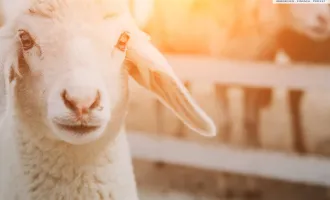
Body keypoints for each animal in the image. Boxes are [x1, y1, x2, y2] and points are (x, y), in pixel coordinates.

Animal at [142, 0, 330, 153]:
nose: (325, 18)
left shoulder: (252, 80)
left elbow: (250, 123)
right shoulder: (220, 77)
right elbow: (227, 126)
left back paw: (179, 134)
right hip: (161, 44)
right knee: (159, 102)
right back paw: (160, 151)